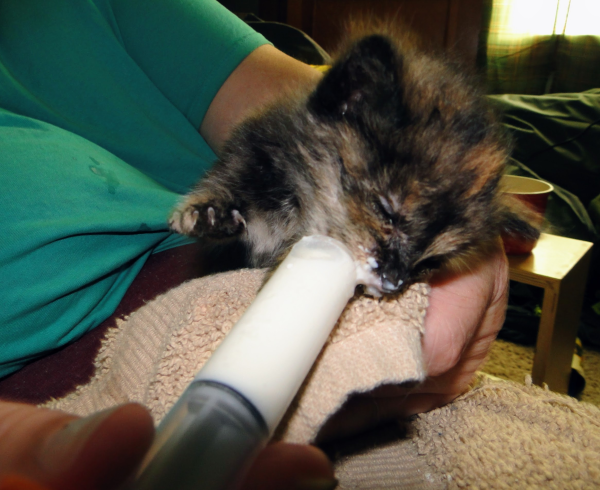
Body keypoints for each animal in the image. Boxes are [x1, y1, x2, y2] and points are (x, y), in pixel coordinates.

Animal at [168, 31, 540, 298]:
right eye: (386, 212)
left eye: (431, 262)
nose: (394, 282)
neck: (296, 209)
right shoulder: (254, 155)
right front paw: (207, 212)